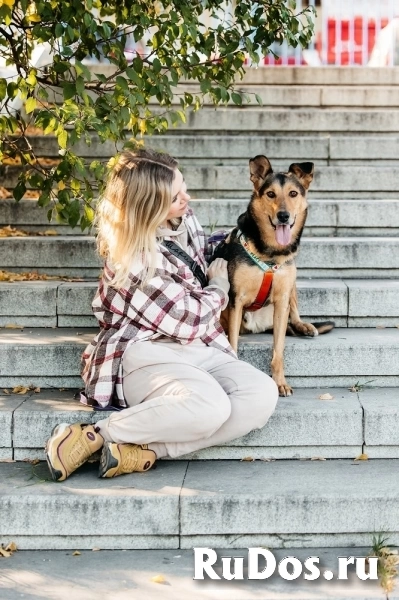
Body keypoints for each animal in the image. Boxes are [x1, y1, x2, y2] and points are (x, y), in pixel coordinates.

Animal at [212, 157, 334, 396]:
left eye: (293, 193)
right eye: (270, 194)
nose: (283, 216)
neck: (270, 253)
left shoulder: (281, 301)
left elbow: (279, 350)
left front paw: (280, 382)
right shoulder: (236, 299)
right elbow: (232, 342)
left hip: (292, 285)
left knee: (293, 312)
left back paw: (304, 325)